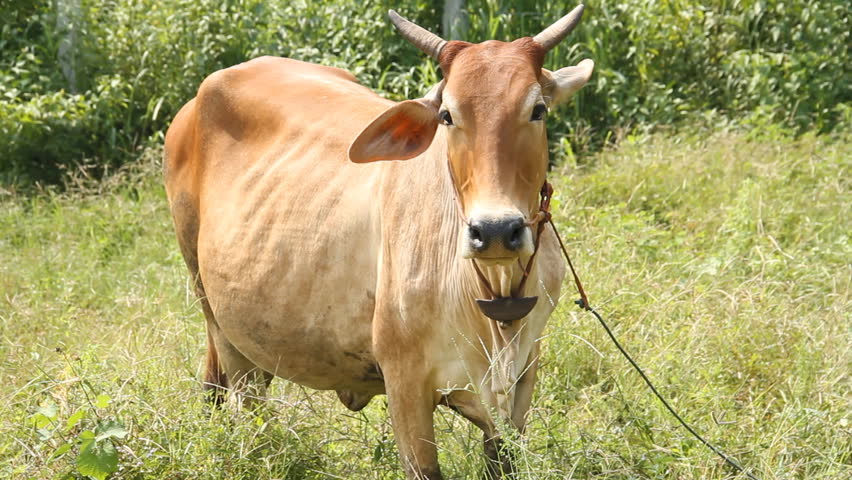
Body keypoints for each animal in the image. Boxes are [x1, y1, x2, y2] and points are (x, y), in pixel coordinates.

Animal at [165, 4, 592, 480]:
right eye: (447, 115)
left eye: (538, 109)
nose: (496, 230)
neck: (492, 298)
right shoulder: (405, 382)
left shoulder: (522, 379)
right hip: (218, 317)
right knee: (245, 400)